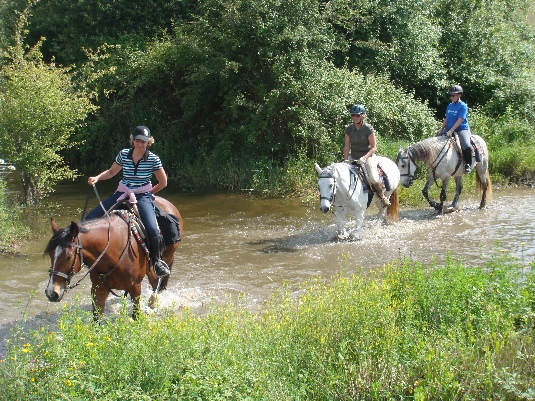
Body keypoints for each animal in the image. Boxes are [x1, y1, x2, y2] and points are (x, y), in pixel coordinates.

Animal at [44, 195, 182, 318]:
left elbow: (136, 316)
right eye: (50, 255)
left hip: (168, 257)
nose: (51, 293)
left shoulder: (135, 287)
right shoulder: (99, 289)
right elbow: (97, 319)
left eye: (68, 257)